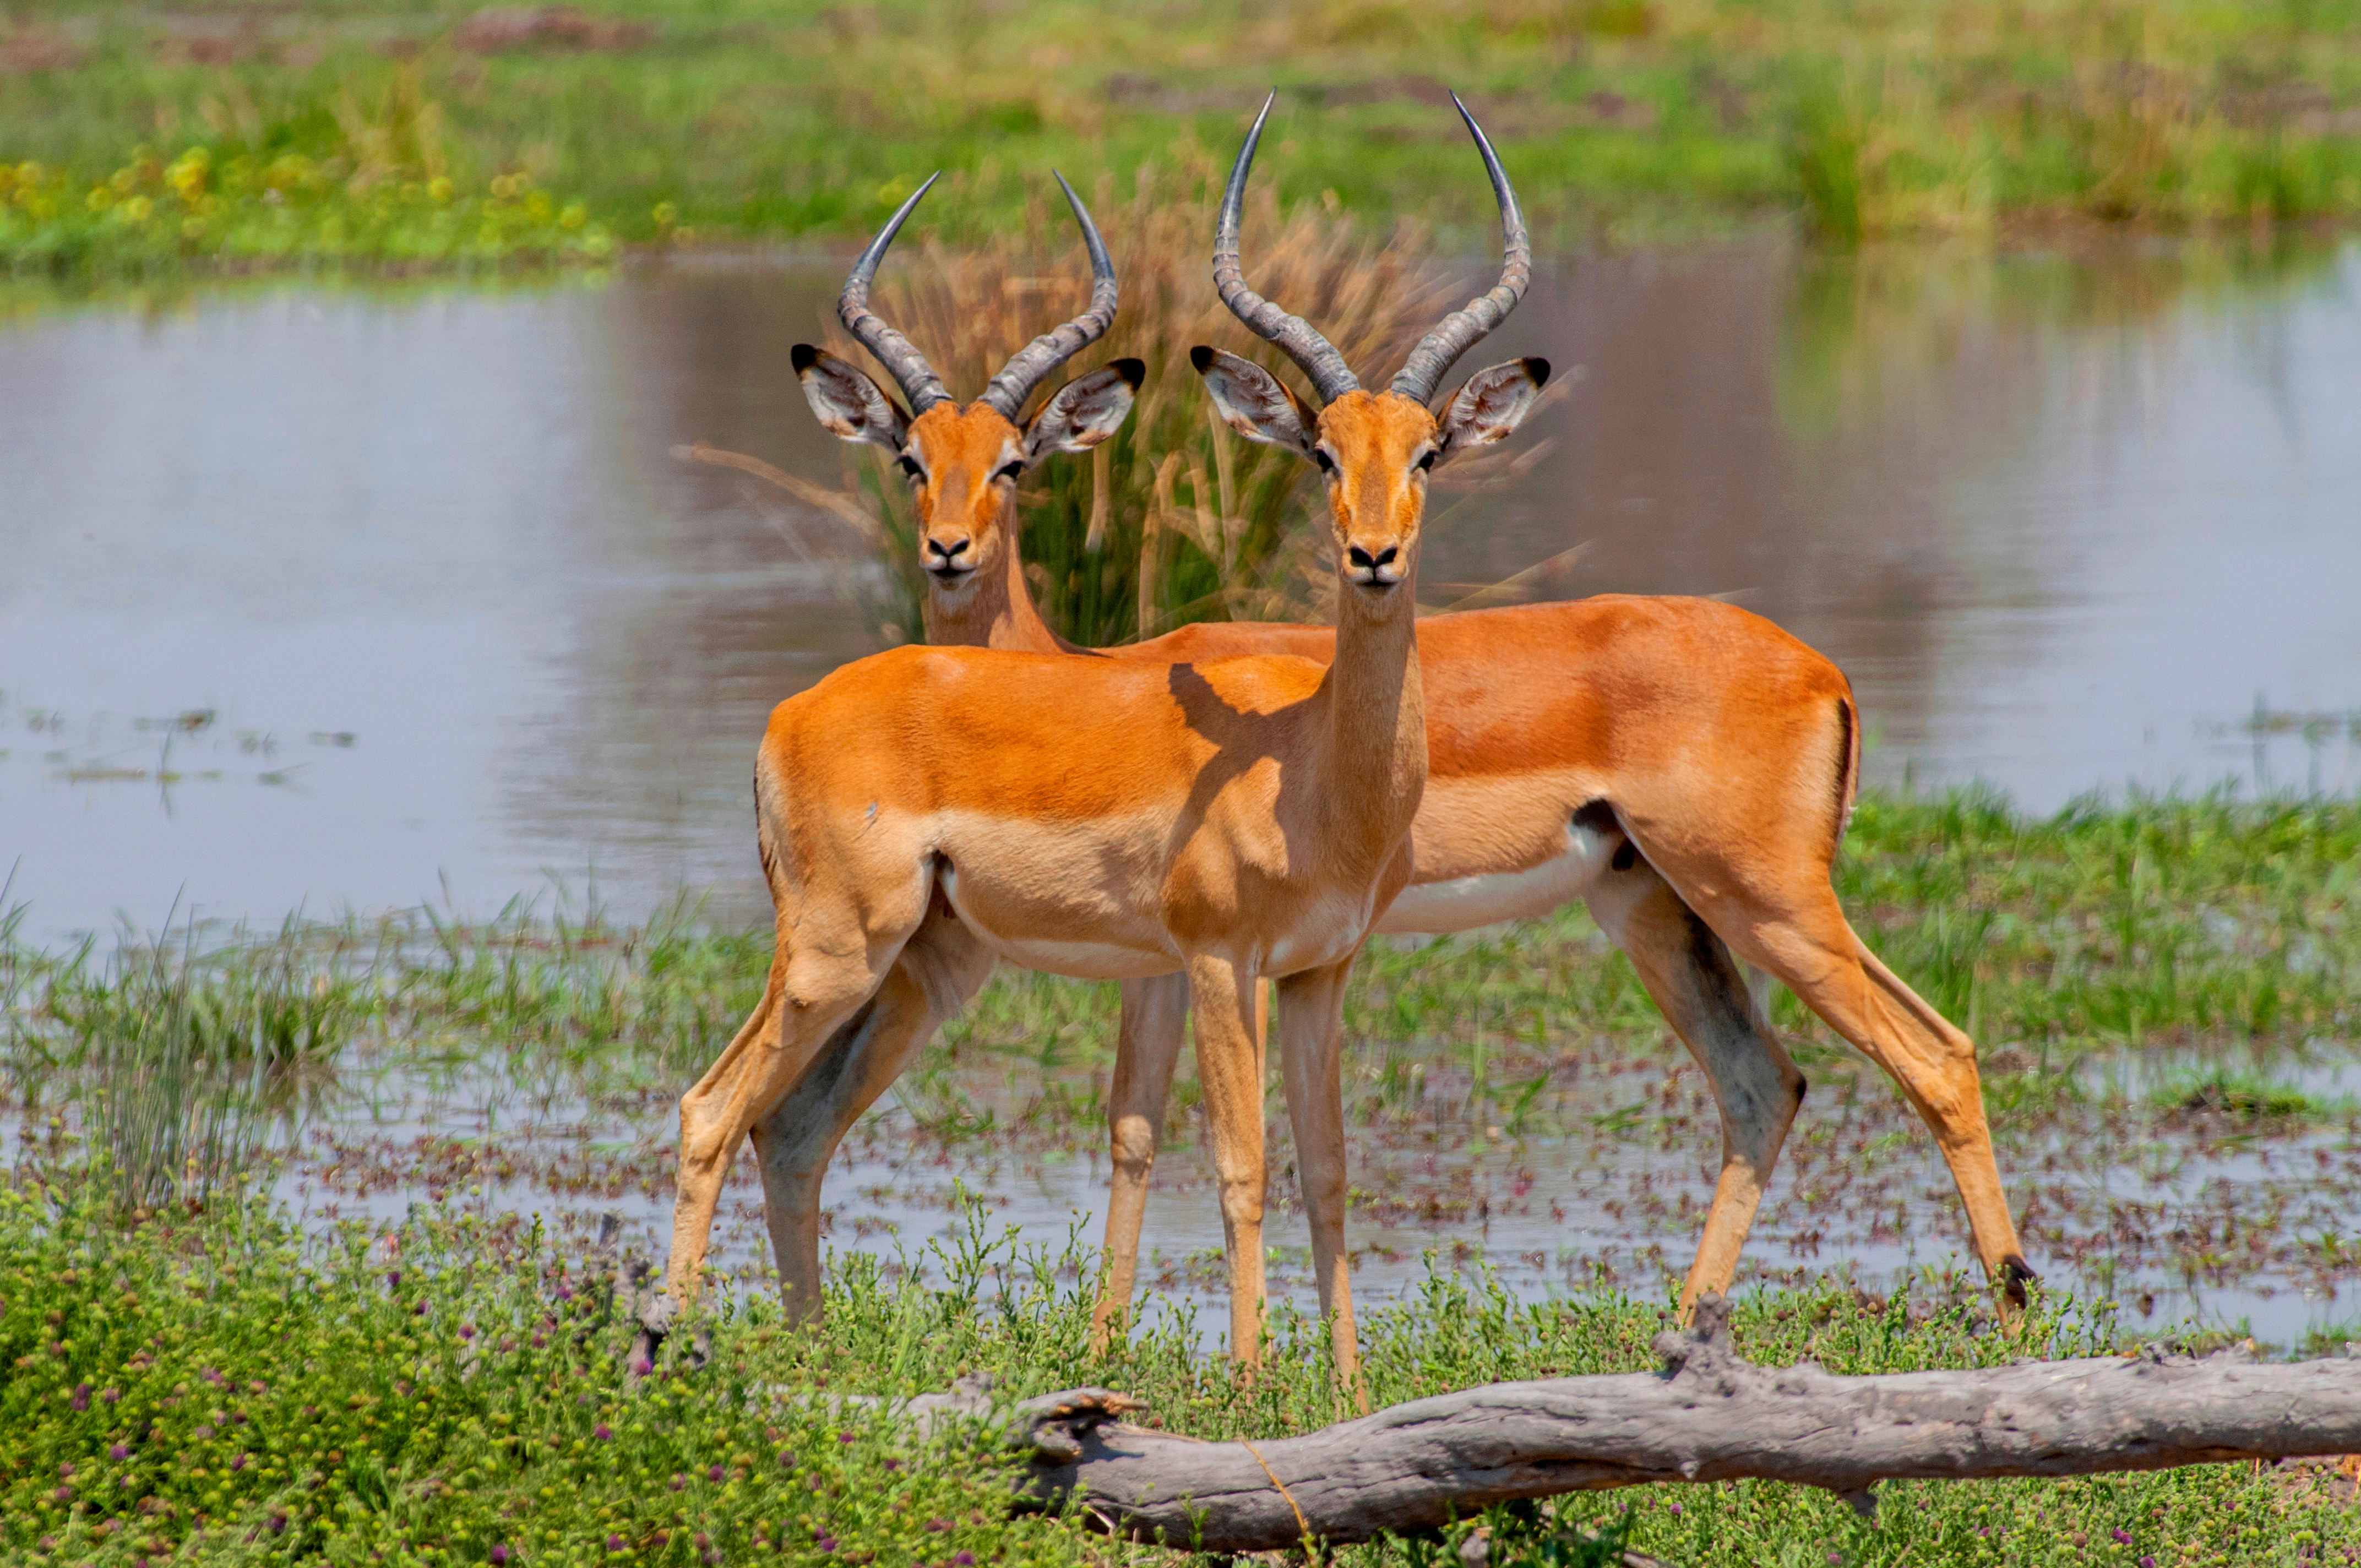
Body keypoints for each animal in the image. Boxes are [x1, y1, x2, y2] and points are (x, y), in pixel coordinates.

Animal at [669, 135, 1551, 1383]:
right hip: (835, 952)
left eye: (1425, 451)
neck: (1310, 764)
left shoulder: (1316, 970)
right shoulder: (1218, 962)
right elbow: (1233, 1165)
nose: (1373, 555)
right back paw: (669, 1342)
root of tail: (794, 710)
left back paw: (812, 1348)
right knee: (710, 1107)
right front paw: (1245, 1383)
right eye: (1321, 451)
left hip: (916, 964)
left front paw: (1342, 1381)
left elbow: (1326, 1168)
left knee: (786, 1124)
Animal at [759, 96, 2033, 1345]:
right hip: (1659, 904)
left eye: (1014, 463)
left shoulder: (1197, 958)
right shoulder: (1172, 962)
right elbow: (1134, 1128)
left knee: (1937, 1054)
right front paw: (1109, 1345)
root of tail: (1821, 670)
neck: (1083, 677)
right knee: (1766, 1082)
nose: (946, 549)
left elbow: (1166, 1136)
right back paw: (1682, 1333)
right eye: (909, 458)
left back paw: (2013, 1317)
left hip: (1767, 896)